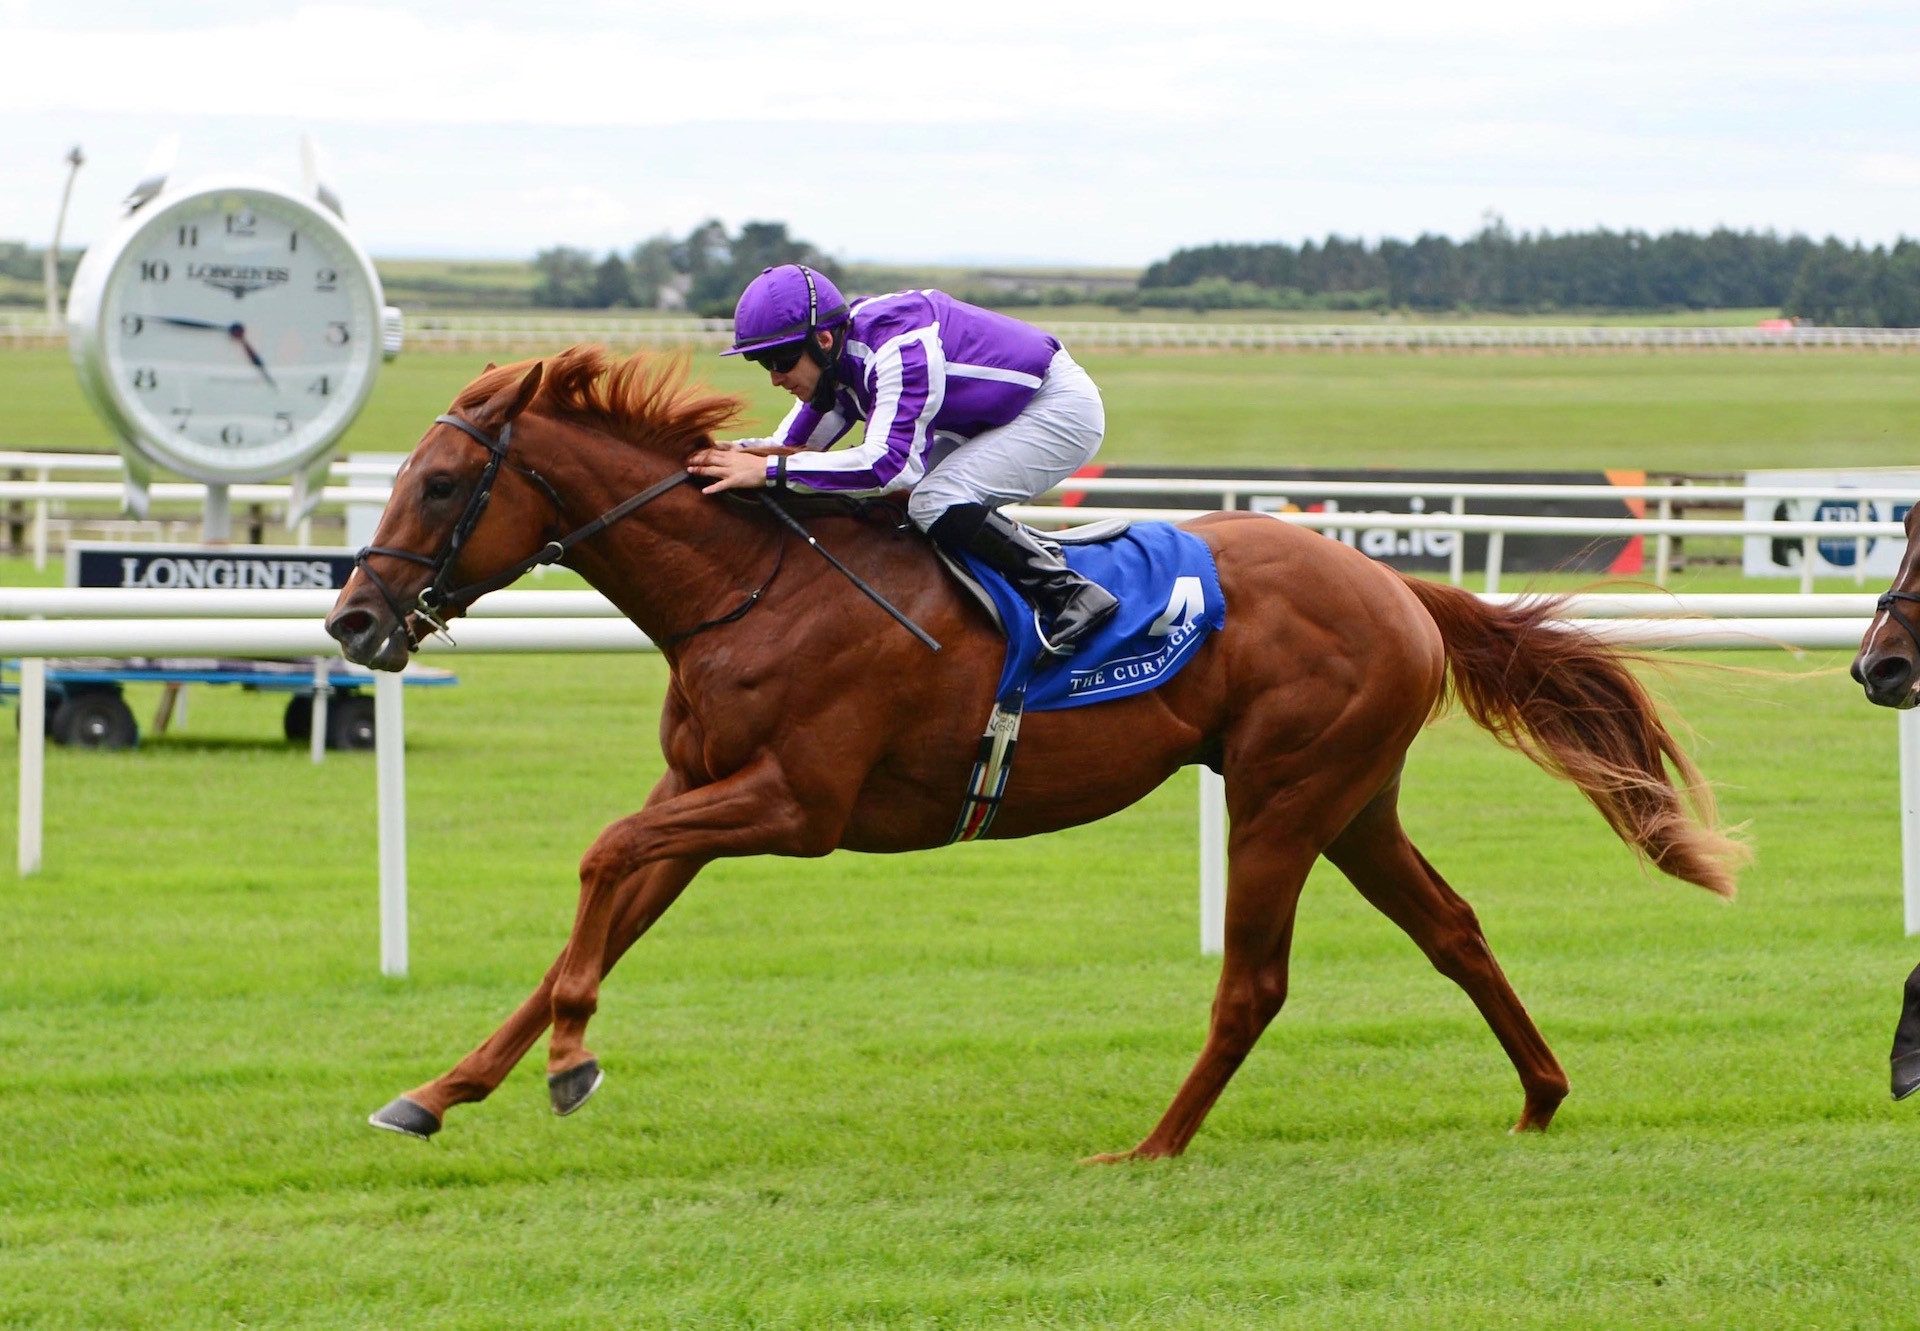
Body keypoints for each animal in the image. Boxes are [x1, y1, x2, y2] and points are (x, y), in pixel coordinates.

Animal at [334, 347, 1758, 1160]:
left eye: (445, 483)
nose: (352, 618)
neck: (749, 586)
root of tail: (1394, 584)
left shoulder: (794, 804)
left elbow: (598, 857)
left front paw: (570, 1063)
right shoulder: (702, 789)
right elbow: (594, 918)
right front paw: (442, 1087)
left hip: (1284, 797)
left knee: (1255, 983)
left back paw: (1153, 1146)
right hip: (1352, 799)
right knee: (1454, 929)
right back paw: (1540, 1096)